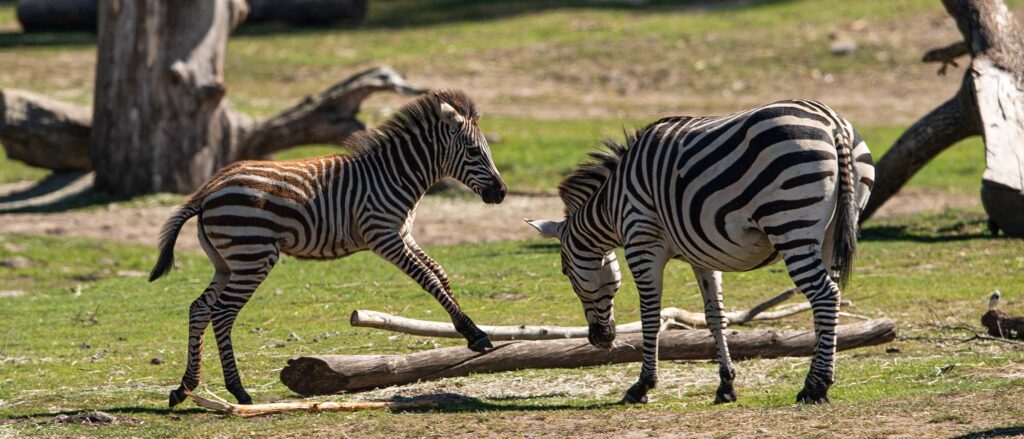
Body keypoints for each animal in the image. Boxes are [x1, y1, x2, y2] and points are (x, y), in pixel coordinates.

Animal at [149, 89, 506, 407]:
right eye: (474, 151)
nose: (501, 193)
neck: (395, 177)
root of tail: (209, 188)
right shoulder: (383, 235)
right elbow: (428, 279)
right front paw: (476, 334)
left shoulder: (404, 235)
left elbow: (440, 274)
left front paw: (468, 330)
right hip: (252, 257)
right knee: (222, 313)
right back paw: (238, 392)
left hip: (227, 263)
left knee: (199, 308)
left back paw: (184, 388)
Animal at [527, 100, 873, 404]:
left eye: (566, 273)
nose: (600, 339)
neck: (611, 205)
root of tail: (832, 122)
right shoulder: (704, 254)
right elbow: (715, 317)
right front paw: (726, 386)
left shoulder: (642, 242)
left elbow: (650, 316)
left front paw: (642, 386)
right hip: (832, 230)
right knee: (826, 302)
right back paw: (817, 379)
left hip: (790, 223)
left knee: (825, 295)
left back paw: (815, 387)